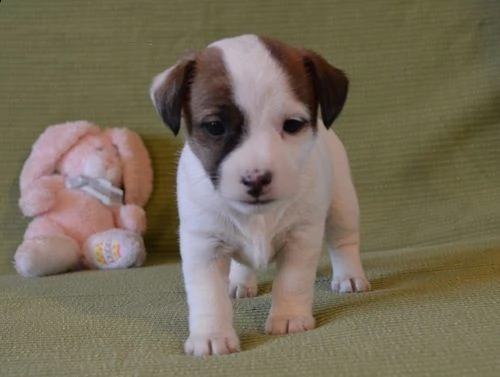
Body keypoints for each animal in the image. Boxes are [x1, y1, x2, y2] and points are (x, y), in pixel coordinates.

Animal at [150, 34, 370, 356]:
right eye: (215, 126)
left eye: (292, 125)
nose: (256, 179)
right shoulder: (203, 245)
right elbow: (208, 295)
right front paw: (211, 335)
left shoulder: (300, 238)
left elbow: (292, 281)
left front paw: (289, 317)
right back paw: (240, 283)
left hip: (342, 205)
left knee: (344, 242)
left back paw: (349, 276)